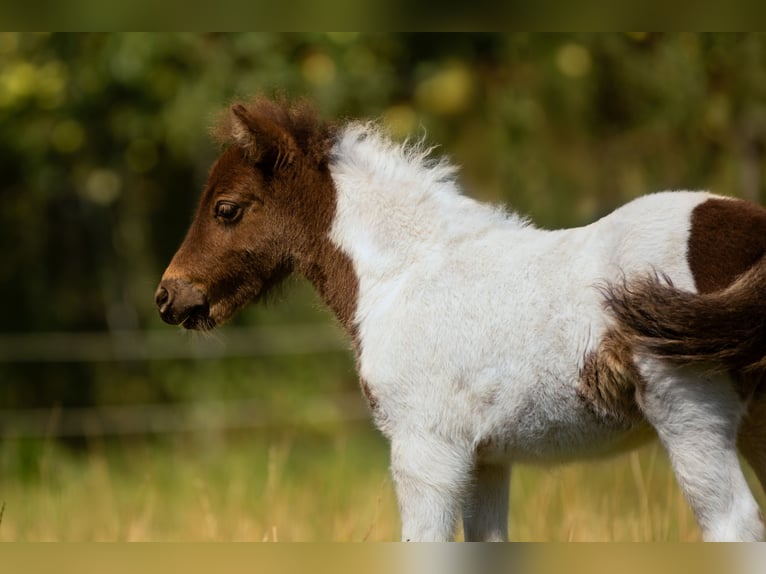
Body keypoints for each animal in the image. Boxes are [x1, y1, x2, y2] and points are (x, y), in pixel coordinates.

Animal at [156, 97, 766, 544]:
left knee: (733, 525)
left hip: (688, 415)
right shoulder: (485, 460)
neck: (405, 274)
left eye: (227, 209)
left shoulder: (424, 448)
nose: (169, 296)